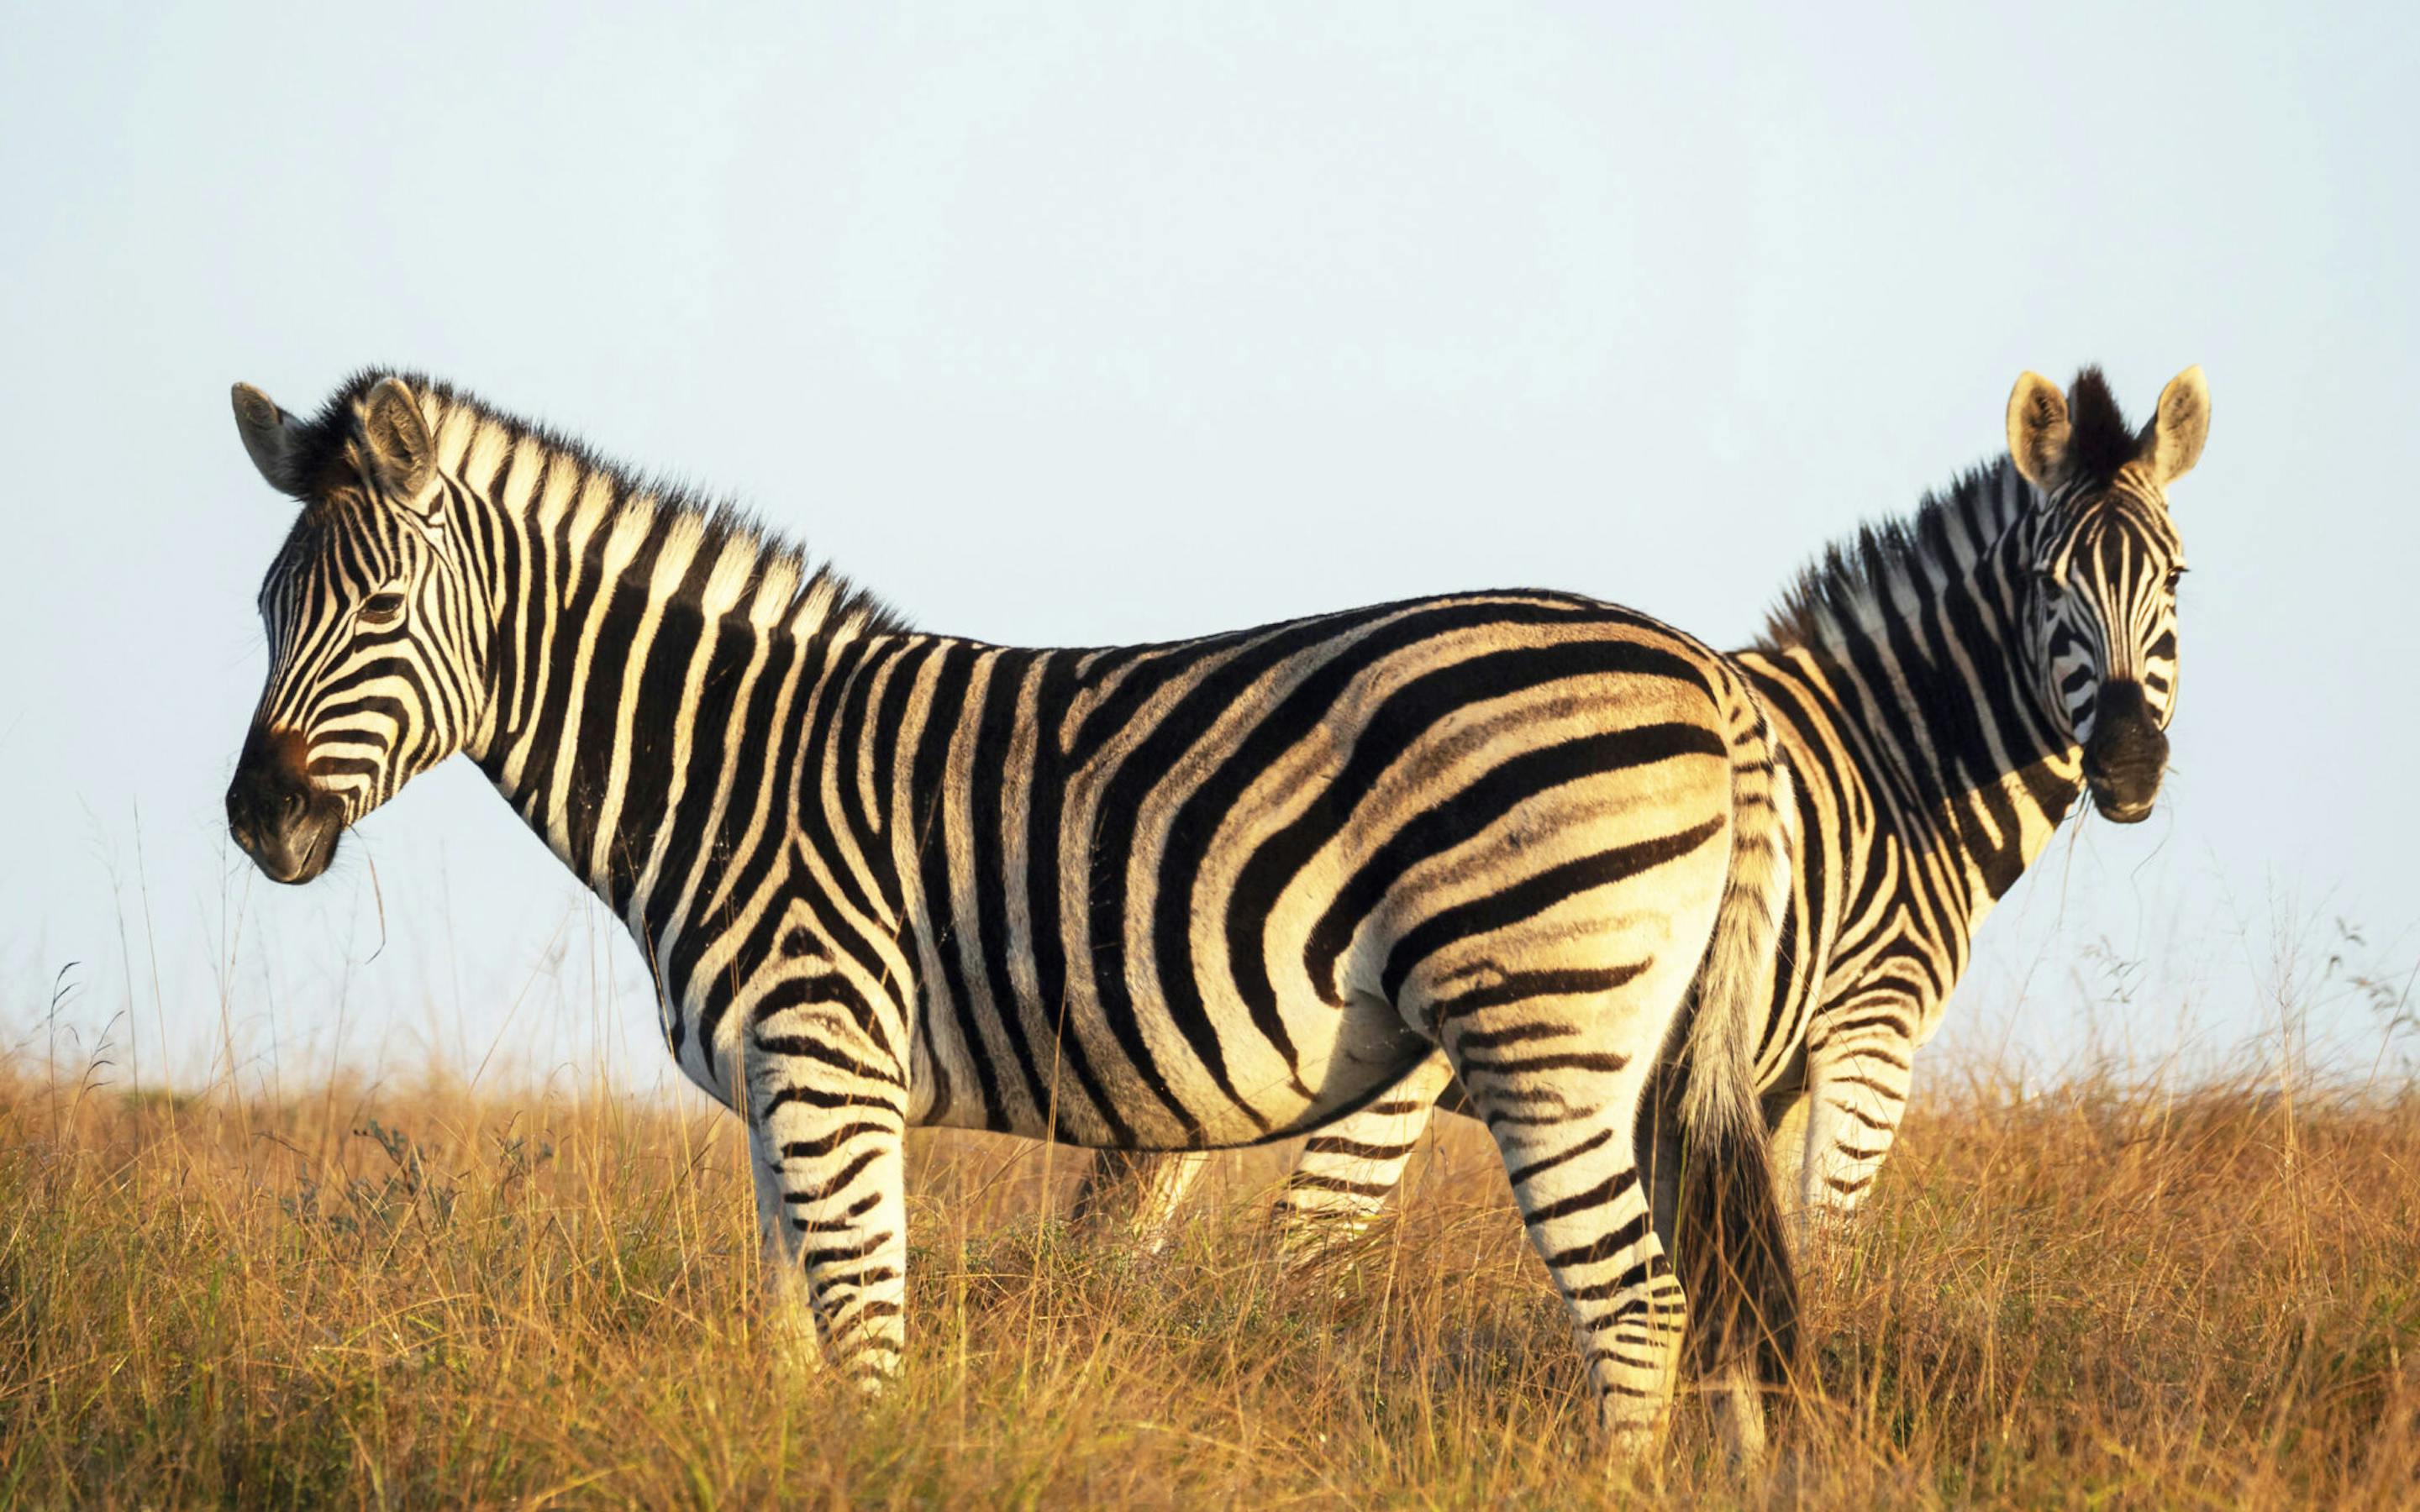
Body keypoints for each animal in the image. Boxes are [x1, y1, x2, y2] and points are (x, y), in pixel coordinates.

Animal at [220, 371, 1798, 1456]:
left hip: (1542, 1032)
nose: (256, 823)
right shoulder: (772, 1093)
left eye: (377, 610)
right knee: (1713, 1301)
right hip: (1648, 1055)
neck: (731, 769)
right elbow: (791, 1346)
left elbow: (867, 1346)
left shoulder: (829, 1065)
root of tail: (1708, 674)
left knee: (1638, 1311)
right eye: (261, 612)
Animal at [1076, 364, 2209, 1256]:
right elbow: (1831, 1248)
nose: (2127, 767)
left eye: (2177, 579)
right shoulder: (1870, 1032)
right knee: (1297, 1241)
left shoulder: (1762, 1075)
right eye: (2048, 583)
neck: (1898, 762)